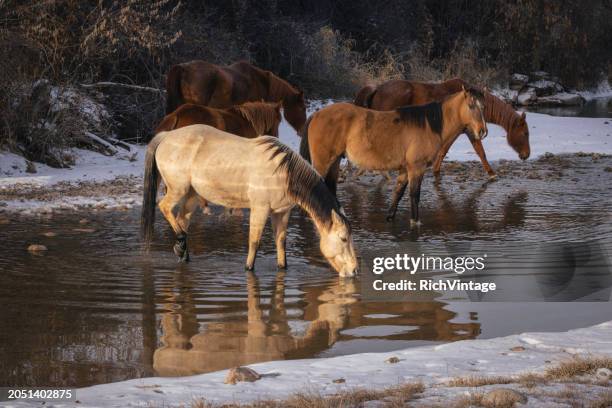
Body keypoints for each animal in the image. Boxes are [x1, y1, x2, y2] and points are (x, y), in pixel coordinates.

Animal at [140, 124, 356, 278]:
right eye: (343, 238)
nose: (354, 271)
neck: (284, 173)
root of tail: (167, 136)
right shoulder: (260, 209)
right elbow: (254, 242)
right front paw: (248, 268)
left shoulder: (281, 213)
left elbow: (281, 243)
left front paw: (282, 268)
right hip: (179, 190)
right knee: (164, 207)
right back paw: (181, 242)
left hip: (192, 195)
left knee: (182, 219)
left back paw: (182, 251)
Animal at [298, 88, 486, 226]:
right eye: (471, 105)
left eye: (483, 106)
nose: (482, 131)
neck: (428, 125)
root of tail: (316, 114)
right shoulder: (416, 168)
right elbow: (414, 195)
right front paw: (415, 222)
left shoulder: (405, 169)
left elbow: (398, 193)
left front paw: (390, 218)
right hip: (323, 162)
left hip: (335, 161)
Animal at [356, 78, 528, 178]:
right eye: (525, 133)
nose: (526, 155)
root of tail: (377, 88)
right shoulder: (466, 131)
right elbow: (478, 151)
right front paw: (492, 173)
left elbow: (446, 150)